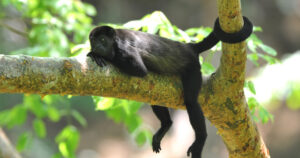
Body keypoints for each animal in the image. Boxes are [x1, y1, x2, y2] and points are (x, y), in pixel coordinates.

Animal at [87, 16, 253, 157]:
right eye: (94, 41)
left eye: (103, 40)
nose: (97, 47)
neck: (115, 41)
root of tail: (189, 47)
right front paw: (94, 52)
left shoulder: (124, 49)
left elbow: (139, 69)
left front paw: (97, 55)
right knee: (154, 97)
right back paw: (166, 125)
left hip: (193, 68)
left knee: (191, 102)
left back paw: (200, 139)